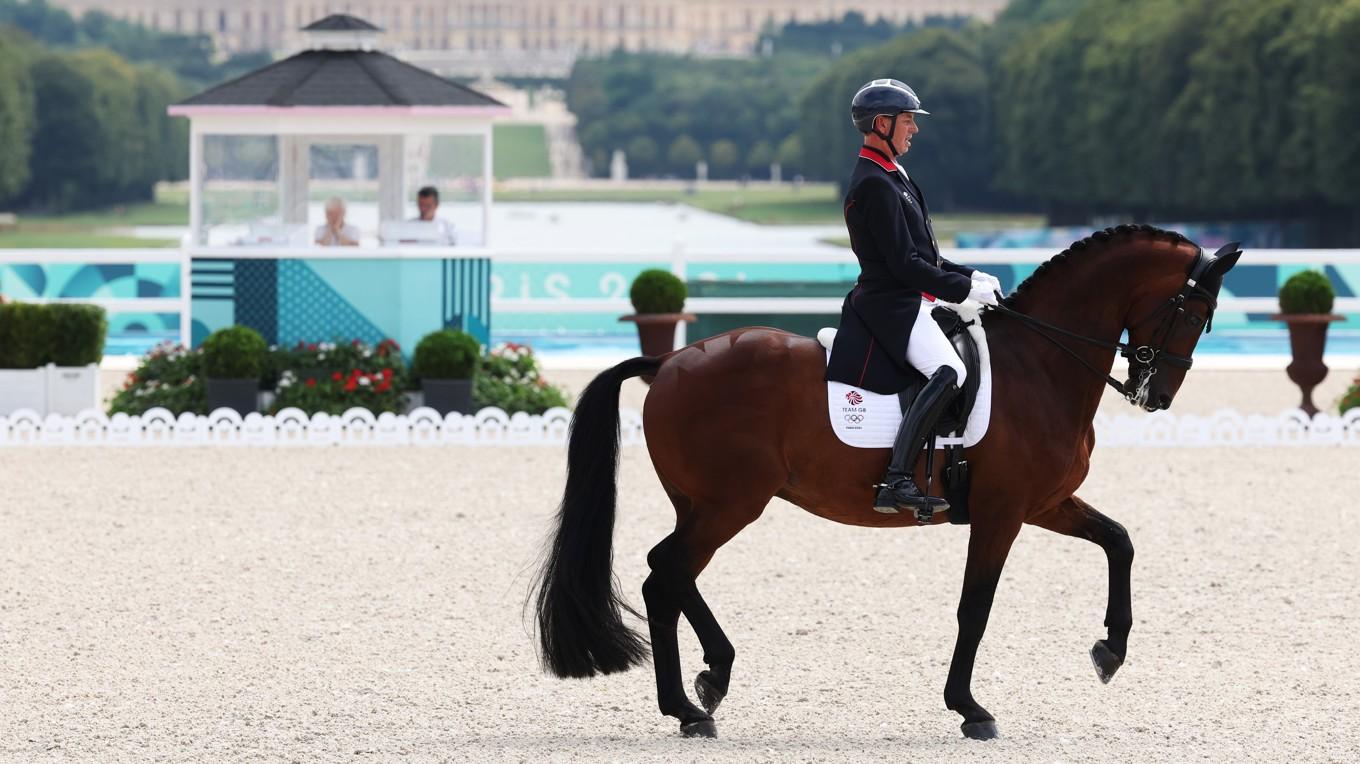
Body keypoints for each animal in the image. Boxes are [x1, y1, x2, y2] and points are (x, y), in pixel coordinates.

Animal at [530, 224, 1245, 739]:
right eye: (1194, 311)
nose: (1157, 396)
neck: (1040, 365)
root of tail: (670, 360)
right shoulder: (1002, 511)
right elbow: (975, 607)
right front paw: (970, 708)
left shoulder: (1045, 502)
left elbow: (1119, 540)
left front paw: (1110, 650)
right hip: (729, 504)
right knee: (666, 573)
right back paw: (694, 699)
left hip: (708, 505)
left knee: (668, 576)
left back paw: (703, 691)